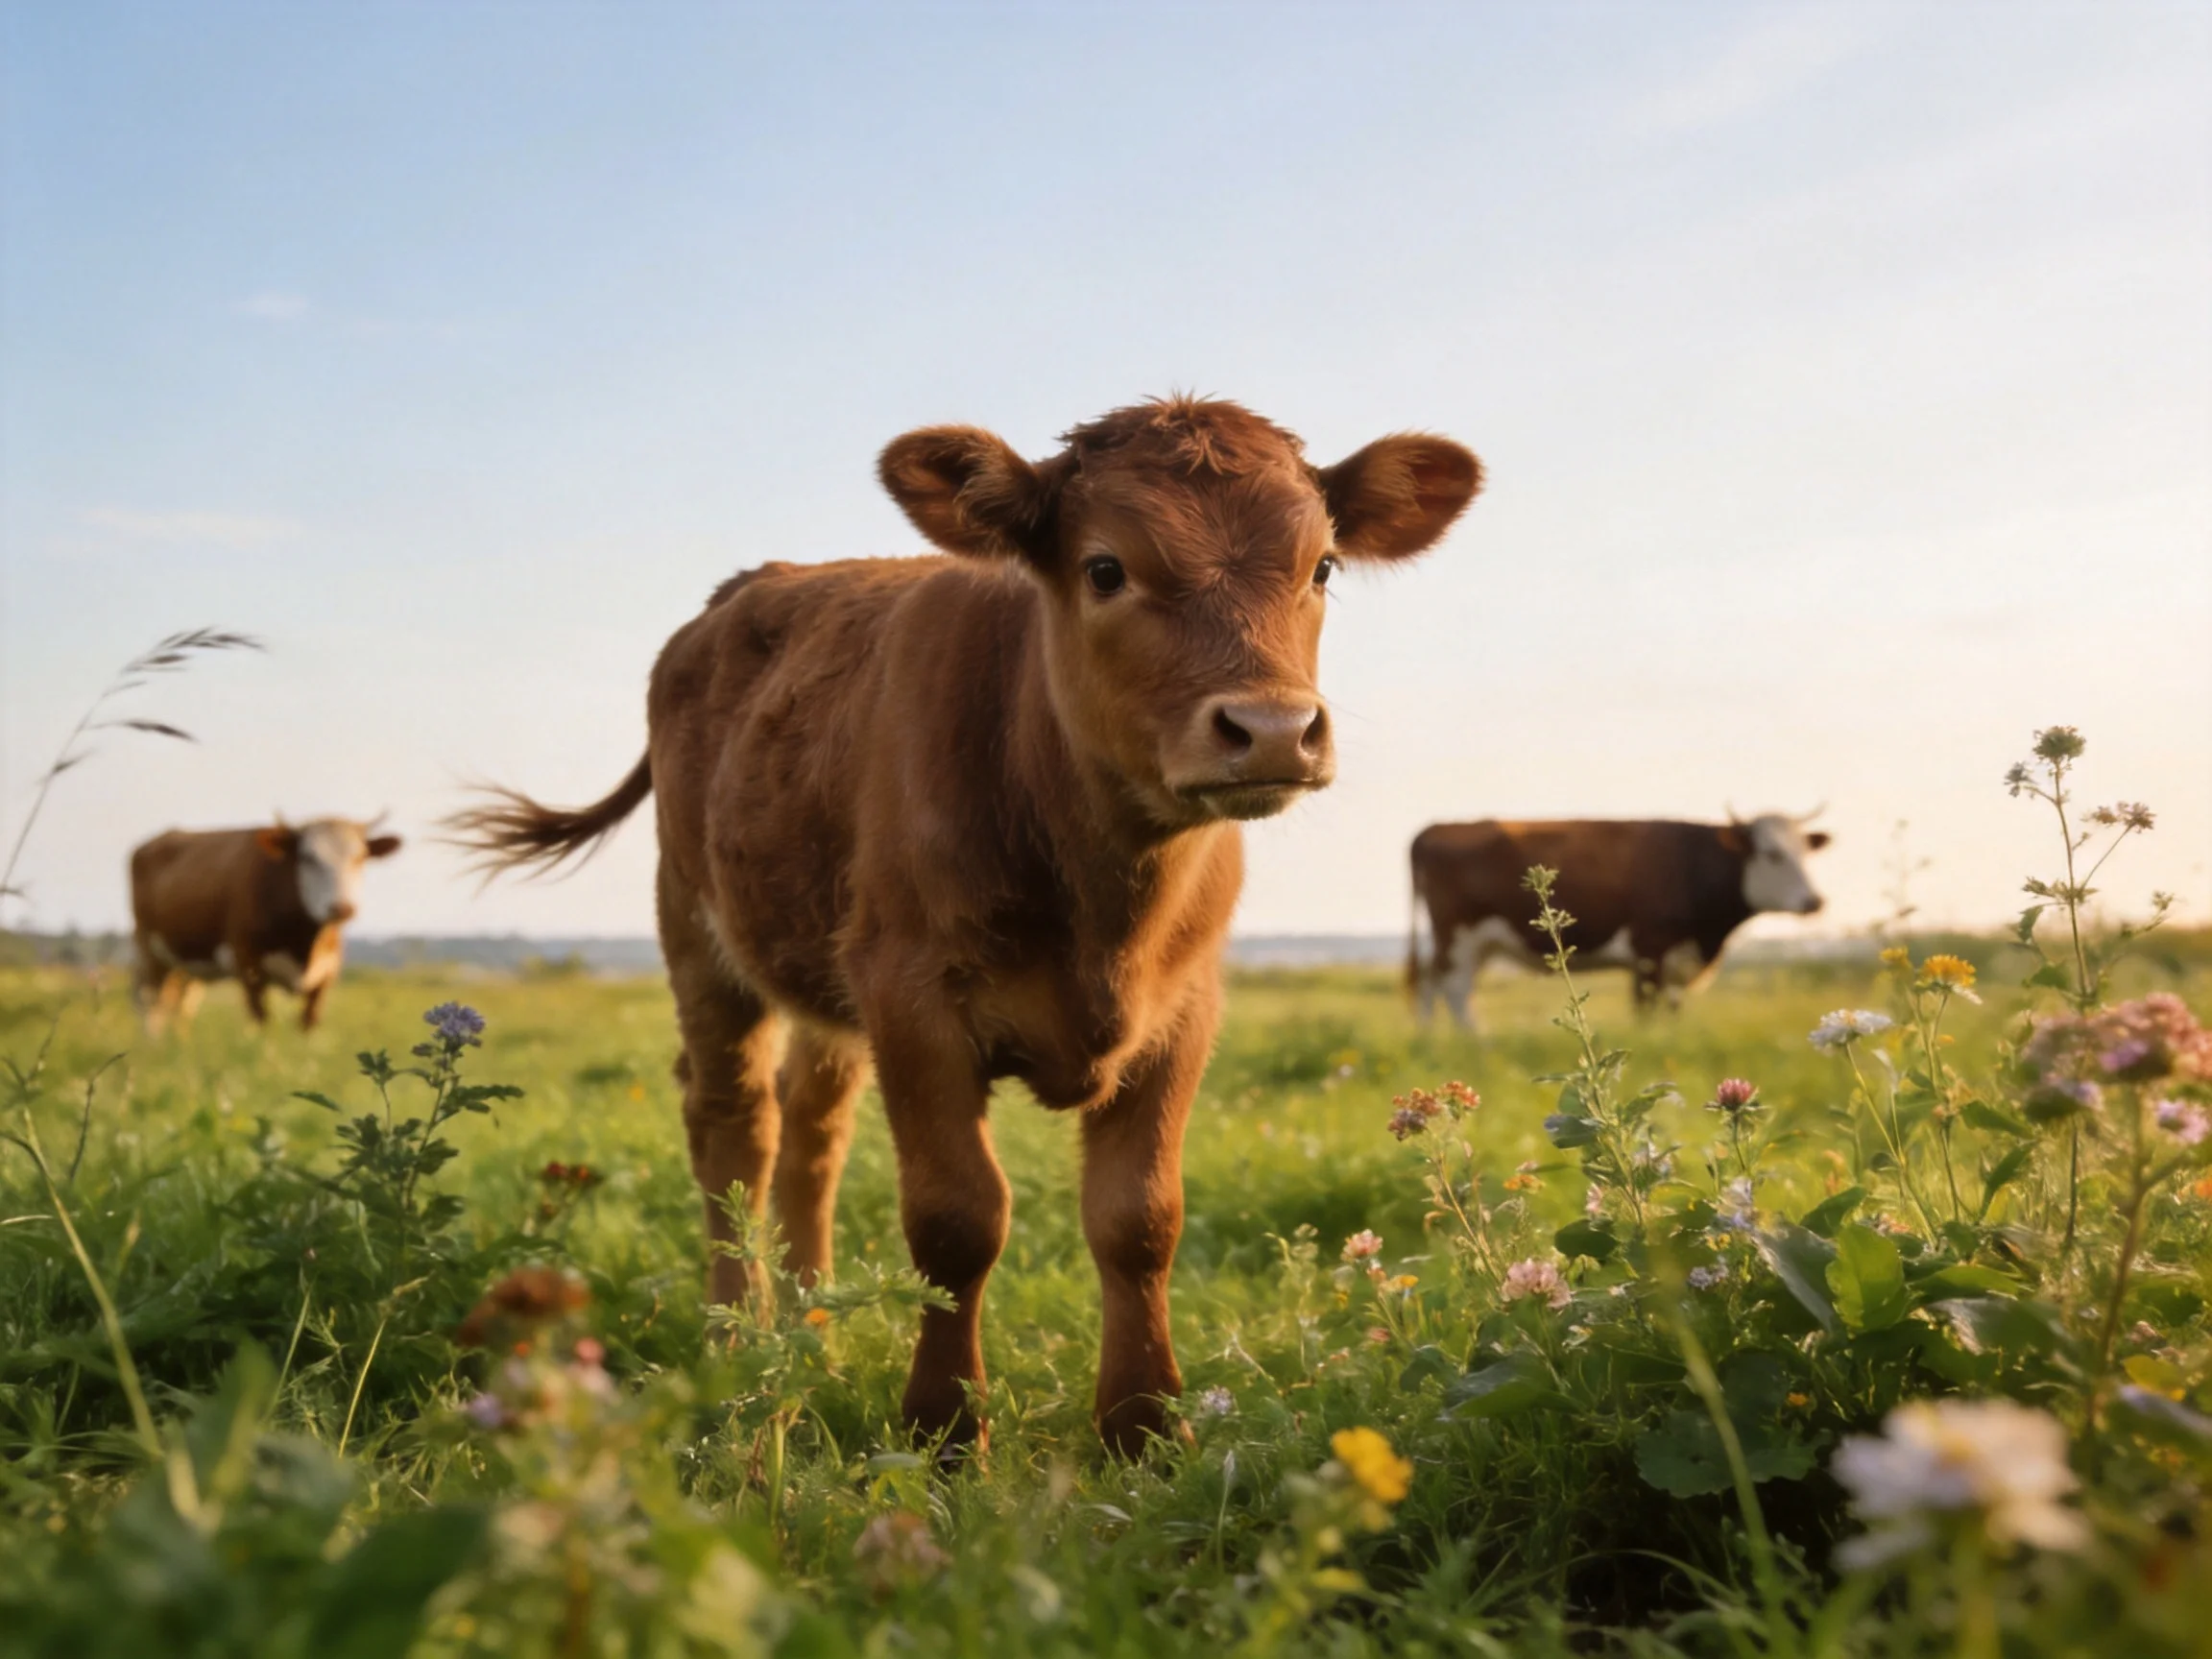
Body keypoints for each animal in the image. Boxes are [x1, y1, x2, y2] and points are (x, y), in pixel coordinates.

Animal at [130, 818, 402, 1033]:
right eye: (308, 858)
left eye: (360, 857)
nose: (341, 908)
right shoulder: (249, 966)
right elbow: (261, 1022)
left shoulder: (325, 975)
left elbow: (308, 1024)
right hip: (148, 951)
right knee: (150, 1003)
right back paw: (154, 1048)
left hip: (186, 963)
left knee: (182, 1004)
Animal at [451, 396, 1482, 1454]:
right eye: (1104, 568)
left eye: (1321, 567)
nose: (1273, 729)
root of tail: (736, 595)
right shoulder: (914, 999)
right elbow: (957, 1220)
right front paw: (944, 1429)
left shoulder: (1184, 1009)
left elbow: (1141, 1218)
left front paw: (1145, 1427)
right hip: (699, 932)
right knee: (736, 1125)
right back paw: (741, 1340)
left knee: (814, 1129)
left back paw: (815, 1336)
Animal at [1408, 814, 1830, 1030]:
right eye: (1773, 854)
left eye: (1806, 852)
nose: (1815, 901)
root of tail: (1434, 828)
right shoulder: (1650, 947)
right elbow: (1646, 1006)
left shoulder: (1674, 958)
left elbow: (1671, 1007)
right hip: (1457, 934)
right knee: (1452, 987)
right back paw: (1476, 1042)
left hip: (1477, 942)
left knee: (1436, 984)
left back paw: (1431, 1040)